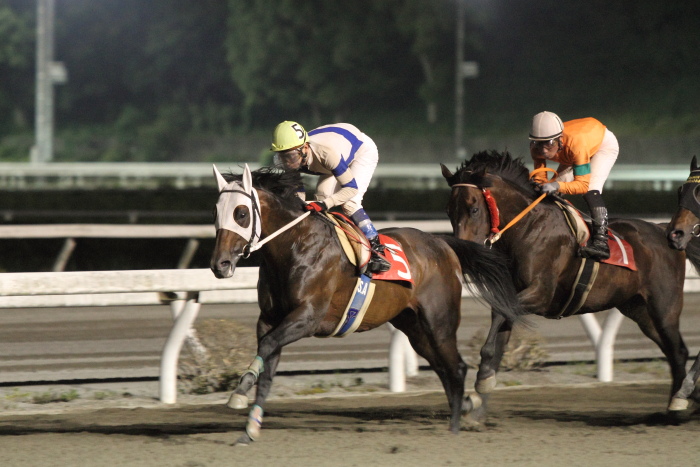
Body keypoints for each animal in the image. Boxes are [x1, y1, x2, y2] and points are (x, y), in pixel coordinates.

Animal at [209, 165, 524, 446]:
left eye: (241, 213)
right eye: (216, 212)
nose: (219, 265)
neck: (295, 246)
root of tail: (443, 243)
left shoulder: (307, 317)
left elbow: (267, 346)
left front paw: (239, 391)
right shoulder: (270, 319)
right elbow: (268, 364)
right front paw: (249, 429)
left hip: (439, 321)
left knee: (456, 367)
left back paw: (456, 427)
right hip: (413, 325)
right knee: (443, 367)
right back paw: (464, 409)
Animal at [442, 151, 700, 420]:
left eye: (473, 209)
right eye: (448, 210)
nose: (461, 254)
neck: (529, 228)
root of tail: (664, 229)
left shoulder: (540, 294)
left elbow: (502, 319)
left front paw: (482, 380)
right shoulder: (511, 295)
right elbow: (499, 335)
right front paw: (477, 402)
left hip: (664, 306)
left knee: (679, 351)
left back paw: (678, 404)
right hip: (639, 311)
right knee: (671, 350)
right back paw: (686, 399)